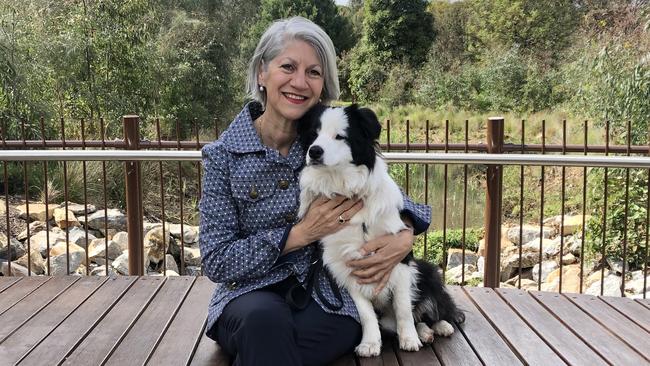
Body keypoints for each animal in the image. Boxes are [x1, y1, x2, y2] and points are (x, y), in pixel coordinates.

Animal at [296, 103, 464, 358]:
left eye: (340, 136)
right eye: (313, 134)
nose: (314, 152)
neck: (344, 188)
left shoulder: (400, 259)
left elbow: (404, 308)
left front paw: (409, 340)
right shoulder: (346, 268)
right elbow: (365, 314)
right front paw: (370, 343)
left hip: (427, 270)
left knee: (433, 308)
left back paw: (439, 326)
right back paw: (425, 332)